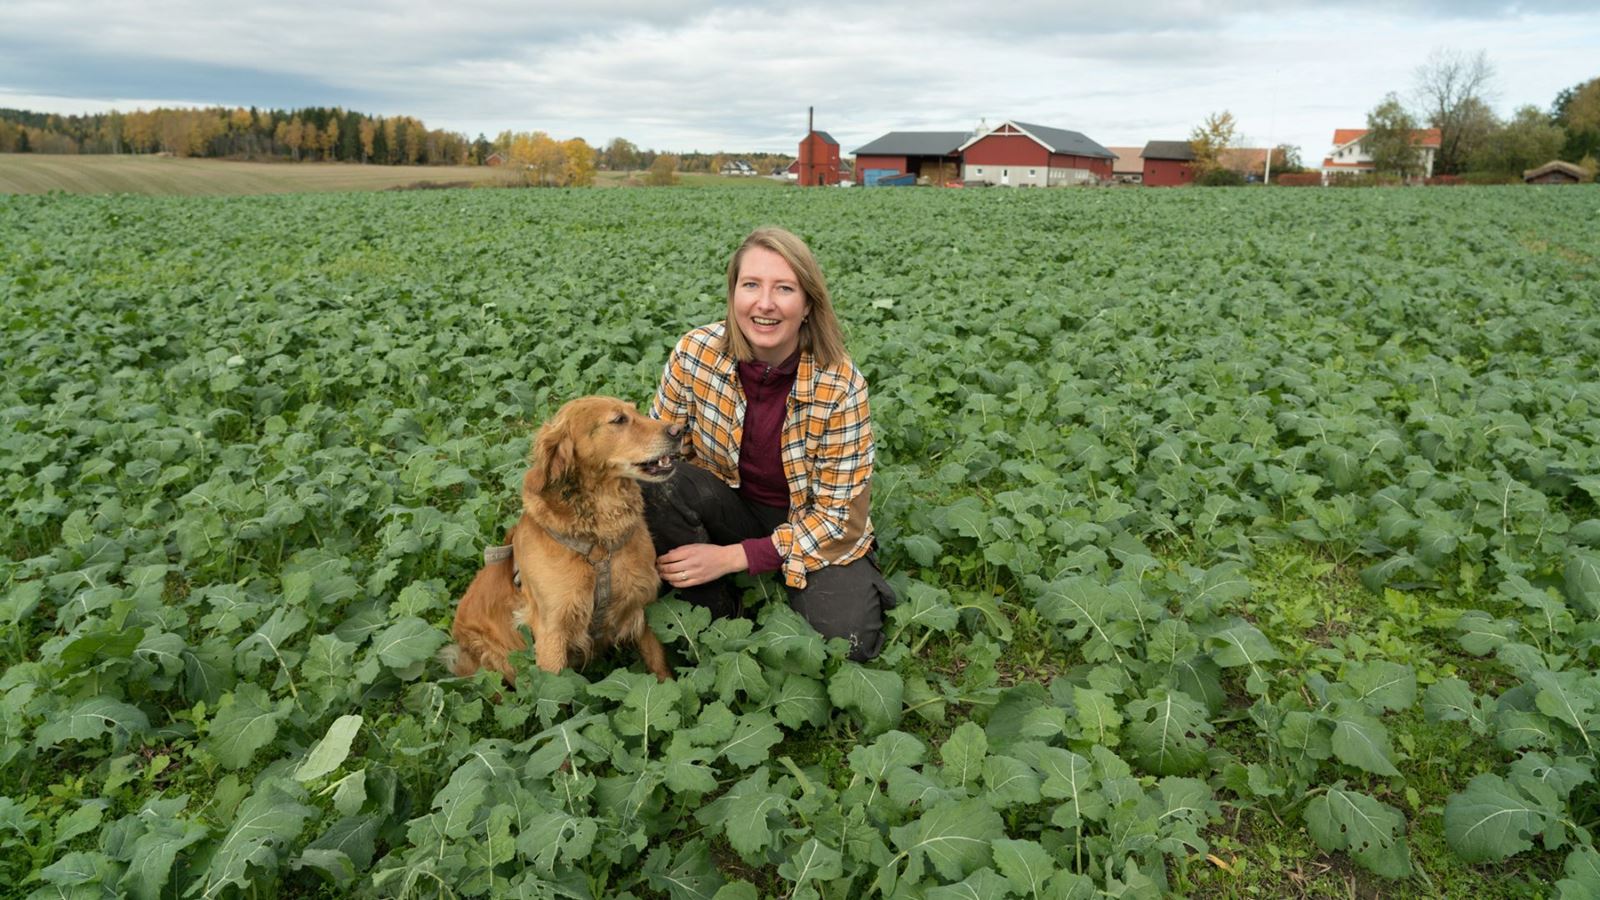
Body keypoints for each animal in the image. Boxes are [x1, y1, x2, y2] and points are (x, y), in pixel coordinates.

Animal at [444, 393, 681, 679]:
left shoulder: (642, 605)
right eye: (619, 420)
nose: (679, 430)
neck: (599, 539)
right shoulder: (551, 631)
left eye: (635, 411)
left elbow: (658, 664)